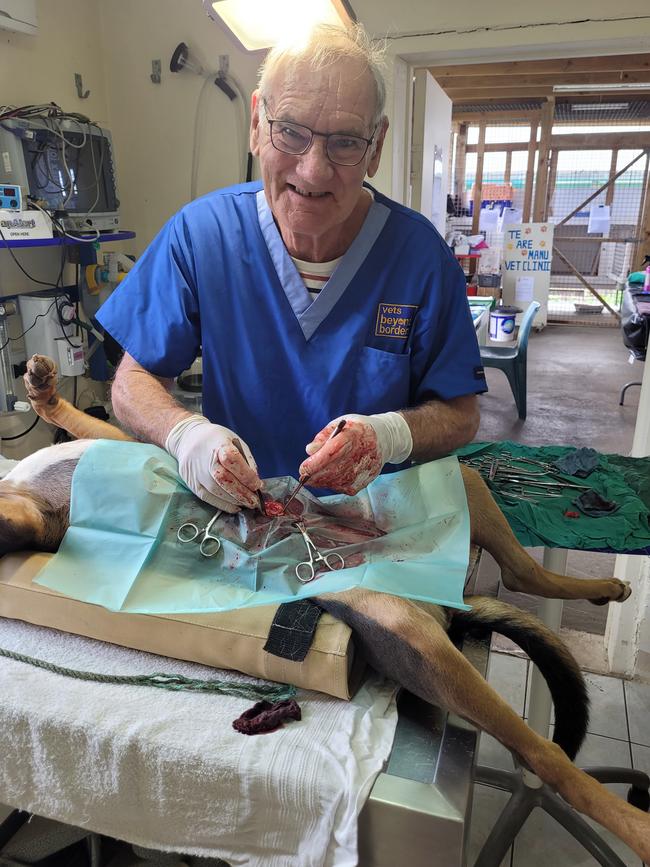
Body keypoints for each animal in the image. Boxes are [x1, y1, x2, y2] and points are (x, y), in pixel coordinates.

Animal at [2, 356, 644, 864]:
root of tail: (446, 604)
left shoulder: (112, 445)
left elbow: (80, 418)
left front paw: (41, 387)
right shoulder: (43, 516)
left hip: (451, 491)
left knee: (525, 612)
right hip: (405, 625)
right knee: (538, 722)